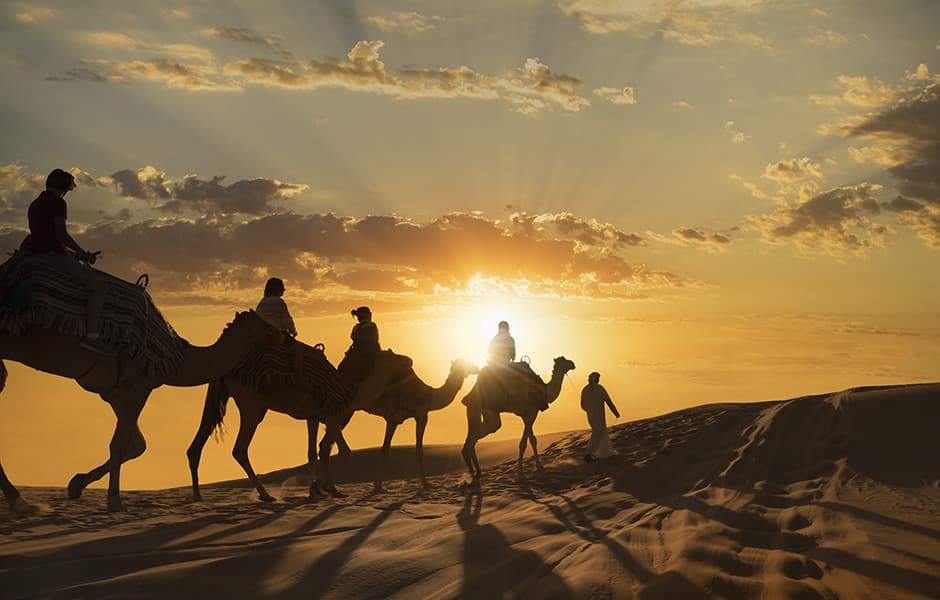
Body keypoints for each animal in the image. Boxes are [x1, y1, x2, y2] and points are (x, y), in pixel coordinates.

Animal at [0, 312, 280, 512]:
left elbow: (135, 445)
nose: (281, 332)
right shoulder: (137, 387)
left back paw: (20, 502)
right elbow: (118, 444)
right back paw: (20, 502)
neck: (177, 360)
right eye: (262, 322)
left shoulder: (118, 394)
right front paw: (114, 501)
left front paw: (77, 483)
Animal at [185, 346, 406, 502]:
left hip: (223, 398)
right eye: (396, 359)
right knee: (239, 449)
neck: (351, 393)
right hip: (253, 406)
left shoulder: (313, 416)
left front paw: (324, 491)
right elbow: (343, 451)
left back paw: (198, 496)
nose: (409, 359)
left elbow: (314, 452)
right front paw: (321, 488)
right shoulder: (332, 415)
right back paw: (265, 495)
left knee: (197, 443)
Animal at [356, 360, 482, 492]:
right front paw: (426, 483)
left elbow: (385, 449)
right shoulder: (422, 415)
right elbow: (419, 451)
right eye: (466, 363)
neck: (430, 396)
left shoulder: (393, 419)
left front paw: (378, 485)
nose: (477, 367)